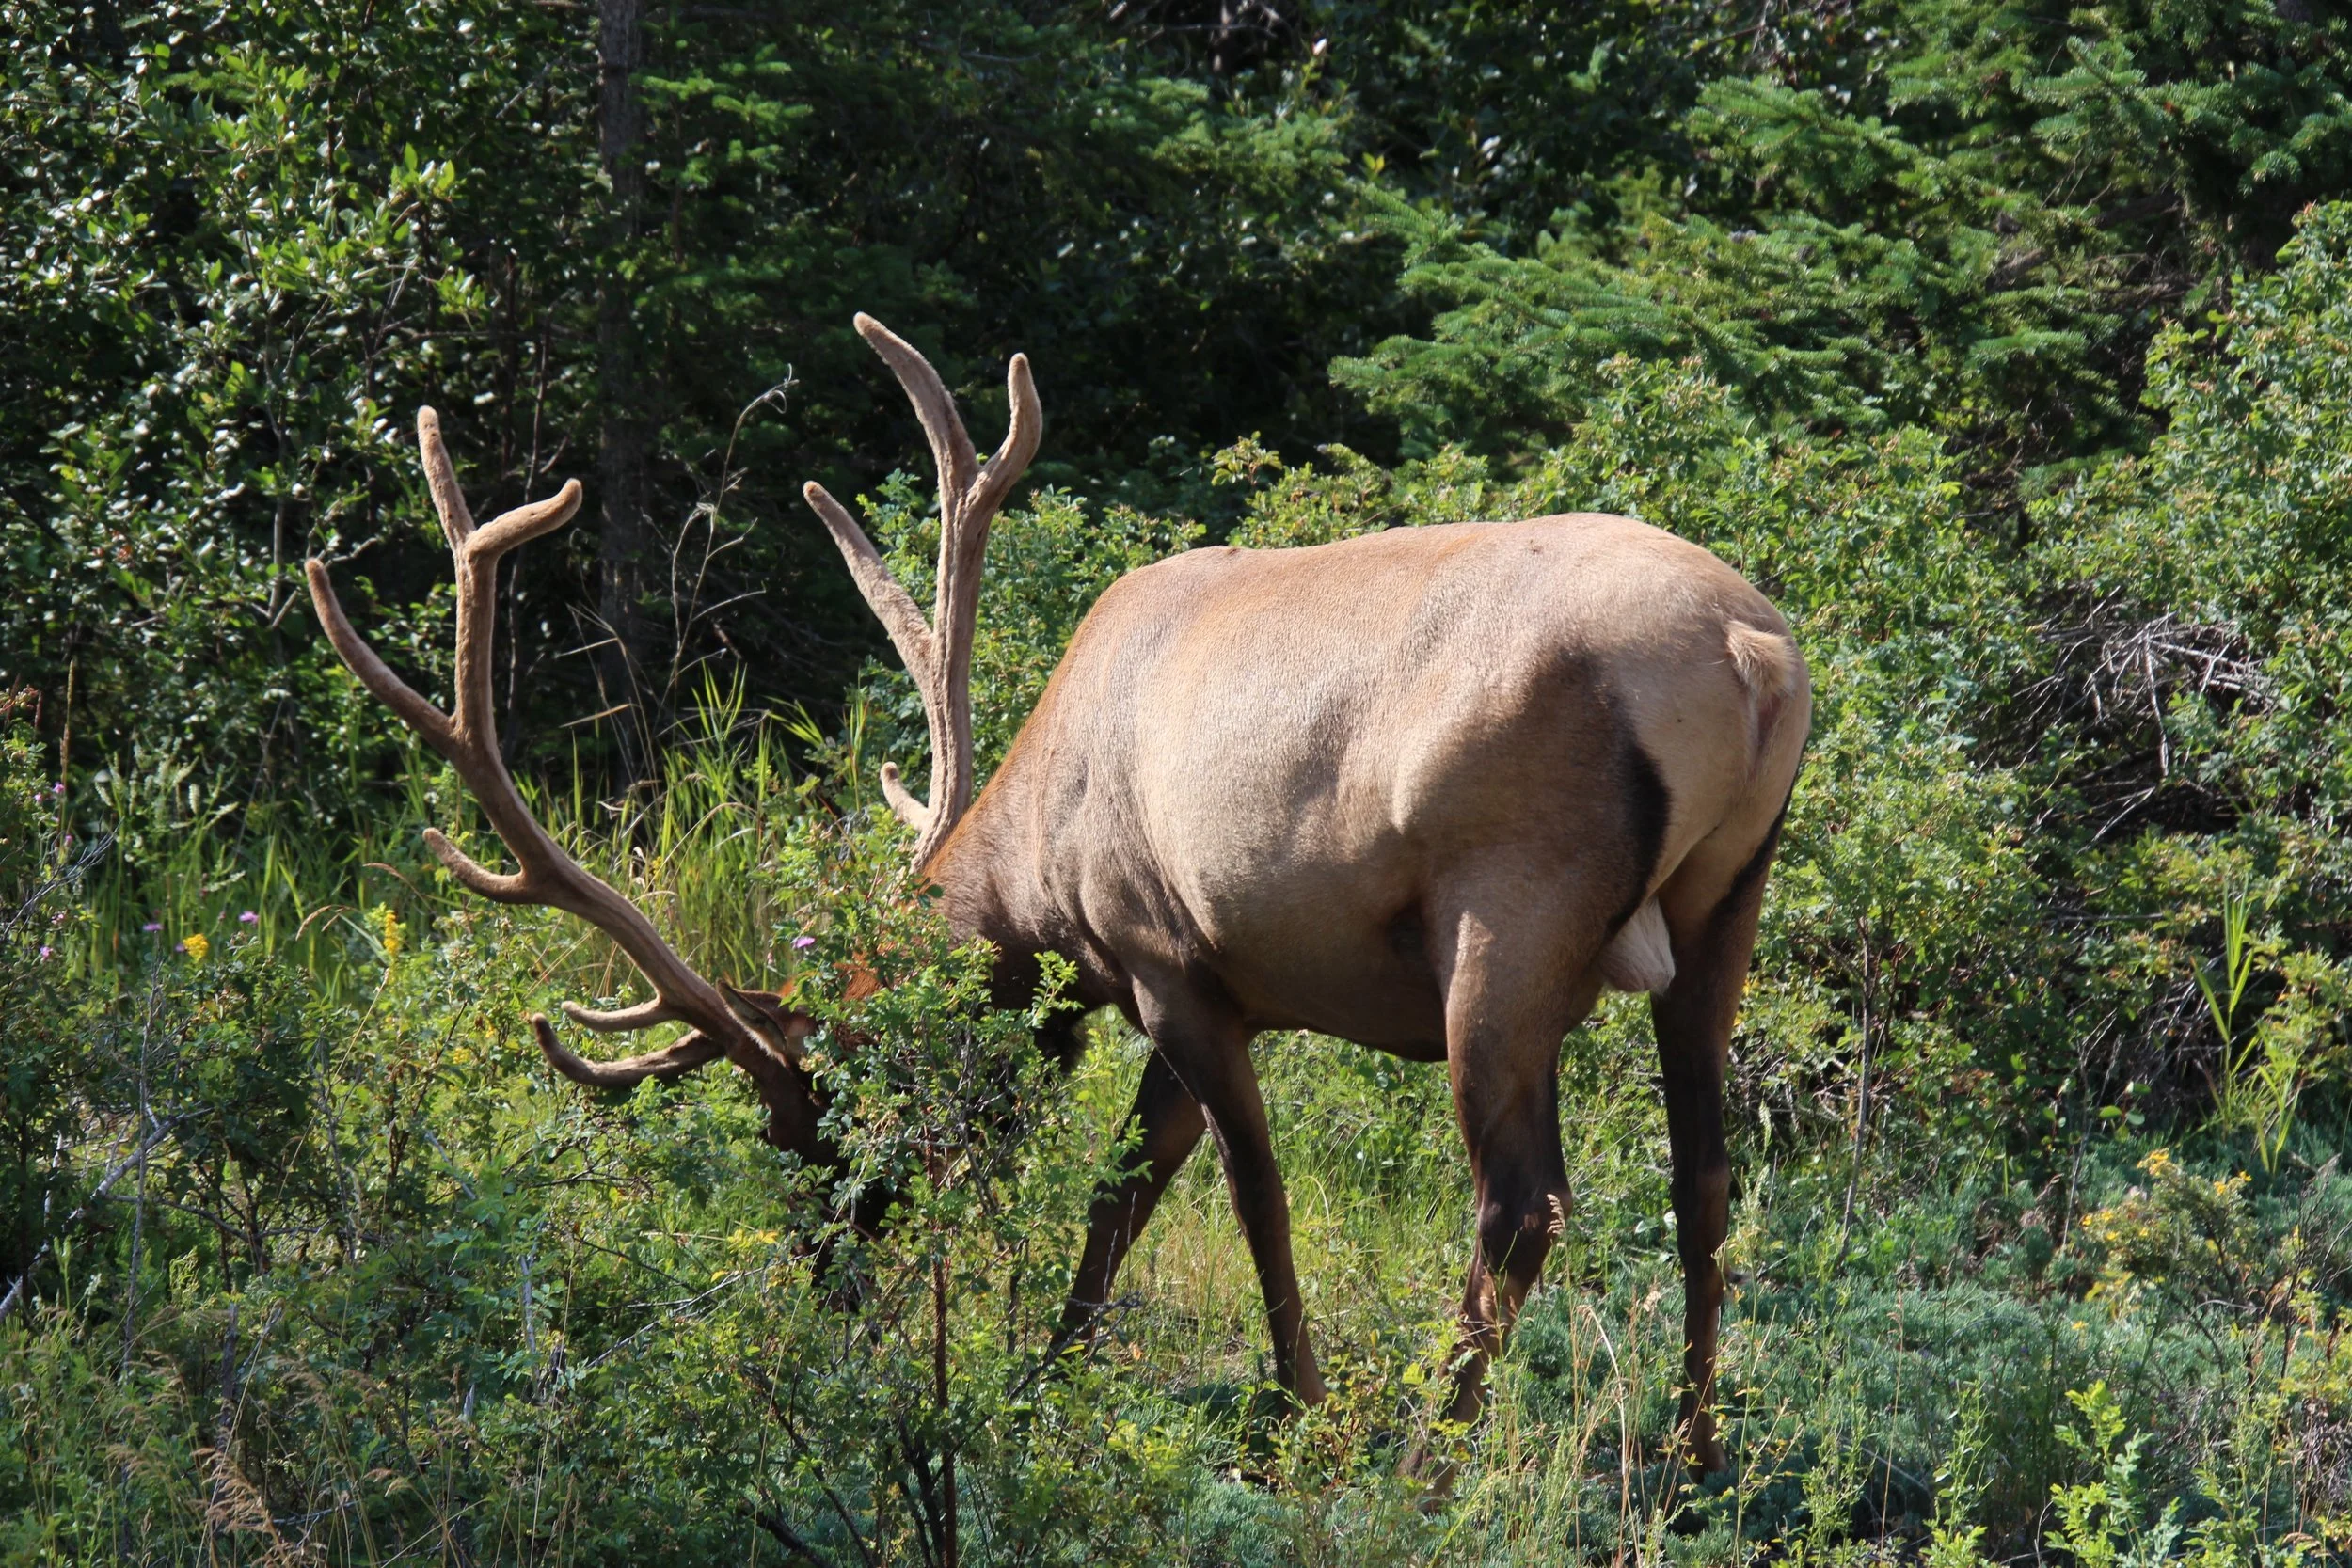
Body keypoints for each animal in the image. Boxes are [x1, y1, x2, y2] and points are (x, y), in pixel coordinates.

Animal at [305, 315, 1808, 1476]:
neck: (1034, 881)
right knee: (1704, 1167)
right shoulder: (1220, 986)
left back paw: (1432, 1457)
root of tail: (1754, 653)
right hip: (1725, 904)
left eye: (817, 1114)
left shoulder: (1167, 956)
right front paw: (1046, 1376)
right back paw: (1696, 1451)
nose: (832, 1281)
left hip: (1507, 911)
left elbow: (1242, 1196)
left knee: (1523, 1200)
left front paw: (1299, 1415)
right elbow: (1127, 1190)